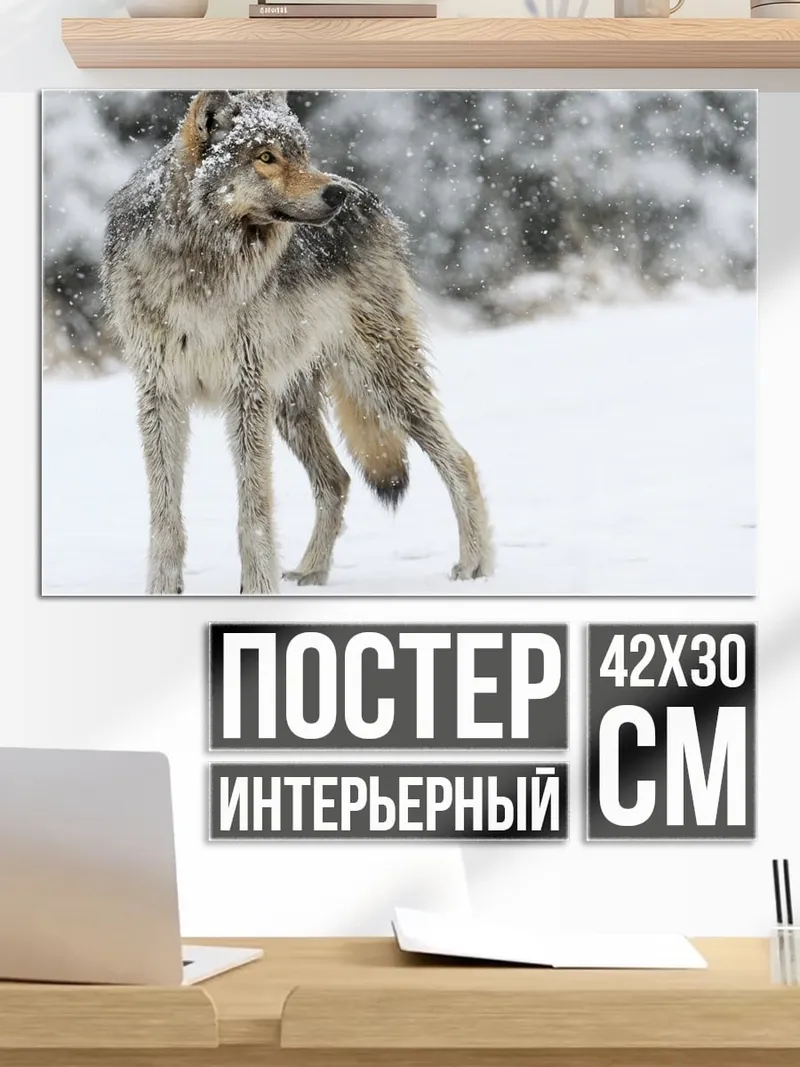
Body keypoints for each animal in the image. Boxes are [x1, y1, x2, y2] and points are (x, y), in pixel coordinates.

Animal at [102, 90, 493, 595]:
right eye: (266, 157)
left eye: (302, 154)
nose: (335, 195)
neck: (200, 266)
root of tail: (371, 198)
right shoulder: (161, 395)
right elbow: (165, 512)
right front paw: (163, 590)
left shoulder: (245, 393)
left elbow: (254, 511)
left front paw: (258, 590)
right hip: (291, 405)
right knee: (337, 479)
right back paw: (311, 570)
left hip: (379, 381)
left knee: (459, 458)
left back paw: (475, 564)